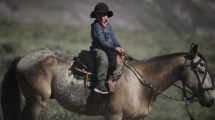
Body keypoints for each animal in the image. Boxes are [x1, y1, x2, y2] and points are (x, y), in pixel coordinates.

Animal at [1, 43, 215, 119]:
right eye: (201, 69)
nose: (211, 99)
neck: (141, 86)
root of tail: (24, 57)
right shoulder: (114, 116)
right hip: (36, 101)